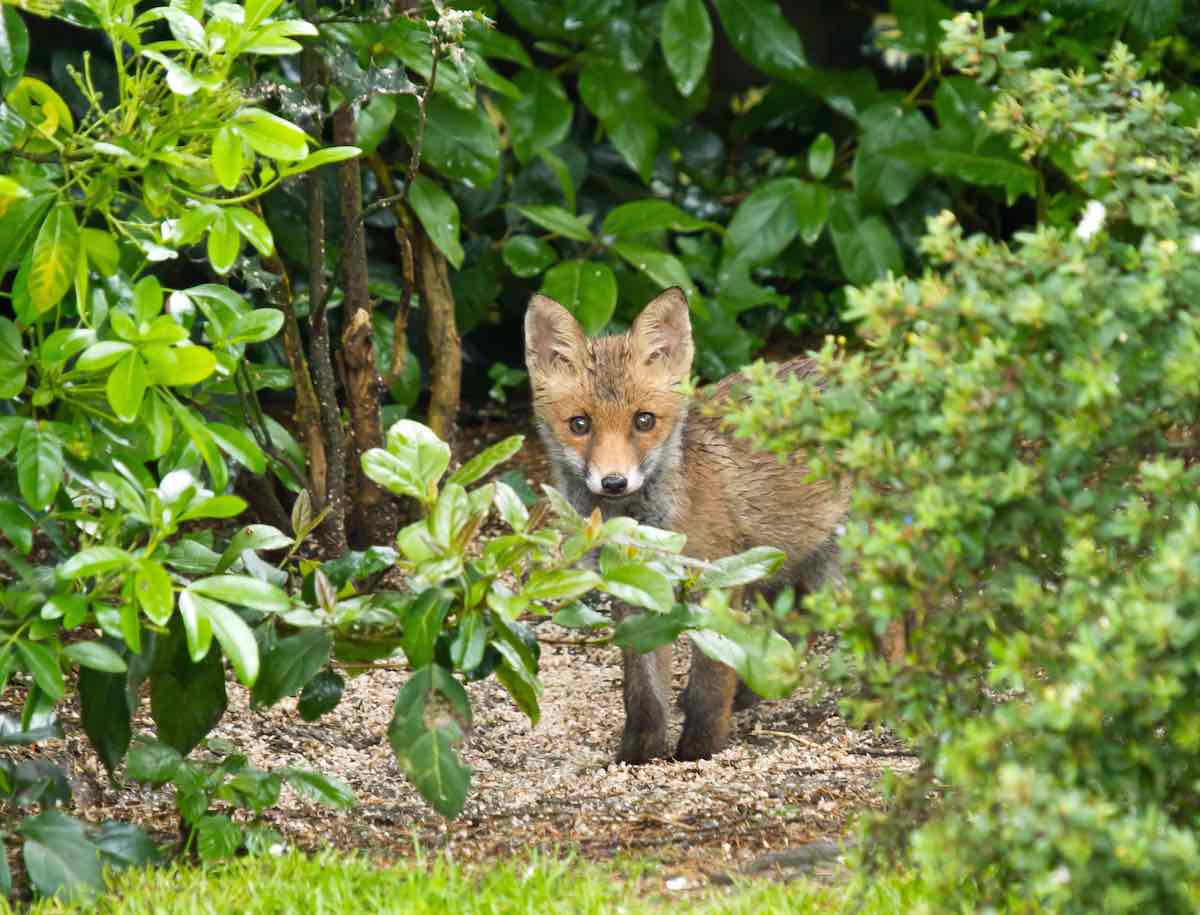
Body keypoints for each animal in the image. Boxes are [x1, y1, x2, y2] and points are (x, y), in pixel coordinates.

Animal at [524, 286, 848, 764]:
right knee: (797, 631)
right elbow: (643, 693)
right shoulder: (635, 591)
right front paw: (639, 755)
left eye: (644, 420)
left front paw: (699, 750)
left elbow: (708, 687)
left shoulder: (717, 582)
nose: (614, 482)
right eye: (579, 425)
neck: (647, 527)